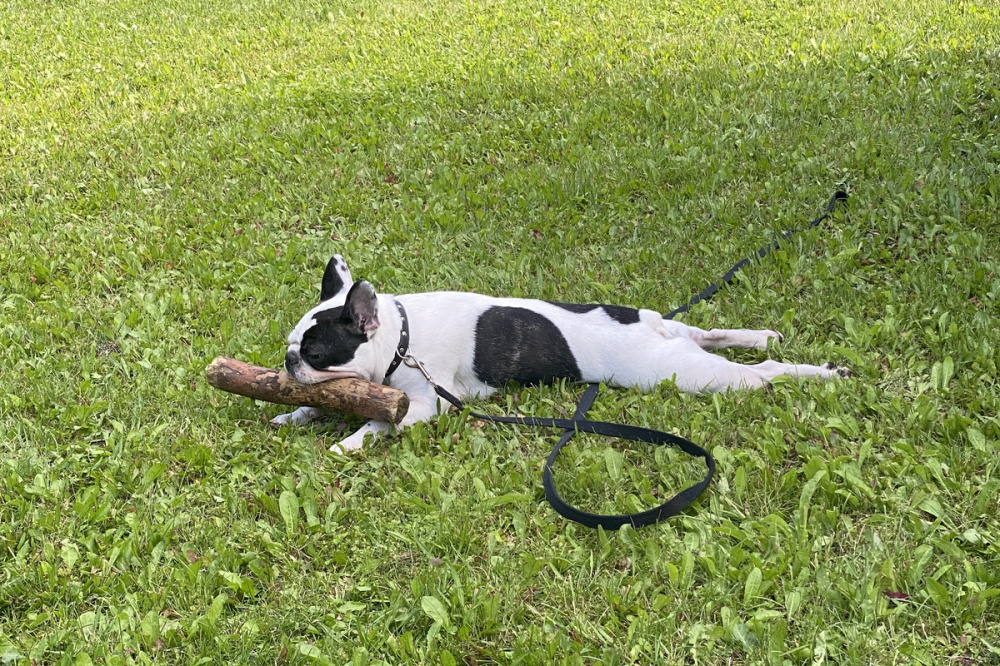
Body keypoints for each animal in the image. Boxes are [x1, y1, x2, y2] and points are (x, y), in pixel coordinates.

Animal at [276, 254, 852, 452]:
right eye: (291, 348)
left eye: (316, 352)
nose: (288, 361)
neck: (401, 337)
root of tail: (651, 329)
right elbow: (320, 403)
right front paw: (293, 413)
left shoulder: (423, 404)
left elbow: (382, 422)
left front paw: (349, 443)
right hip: (680, 342)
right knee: (709, 333)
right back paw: (759, 336)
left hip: (685, 372)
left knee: (762, 375)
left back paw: (819, 372)